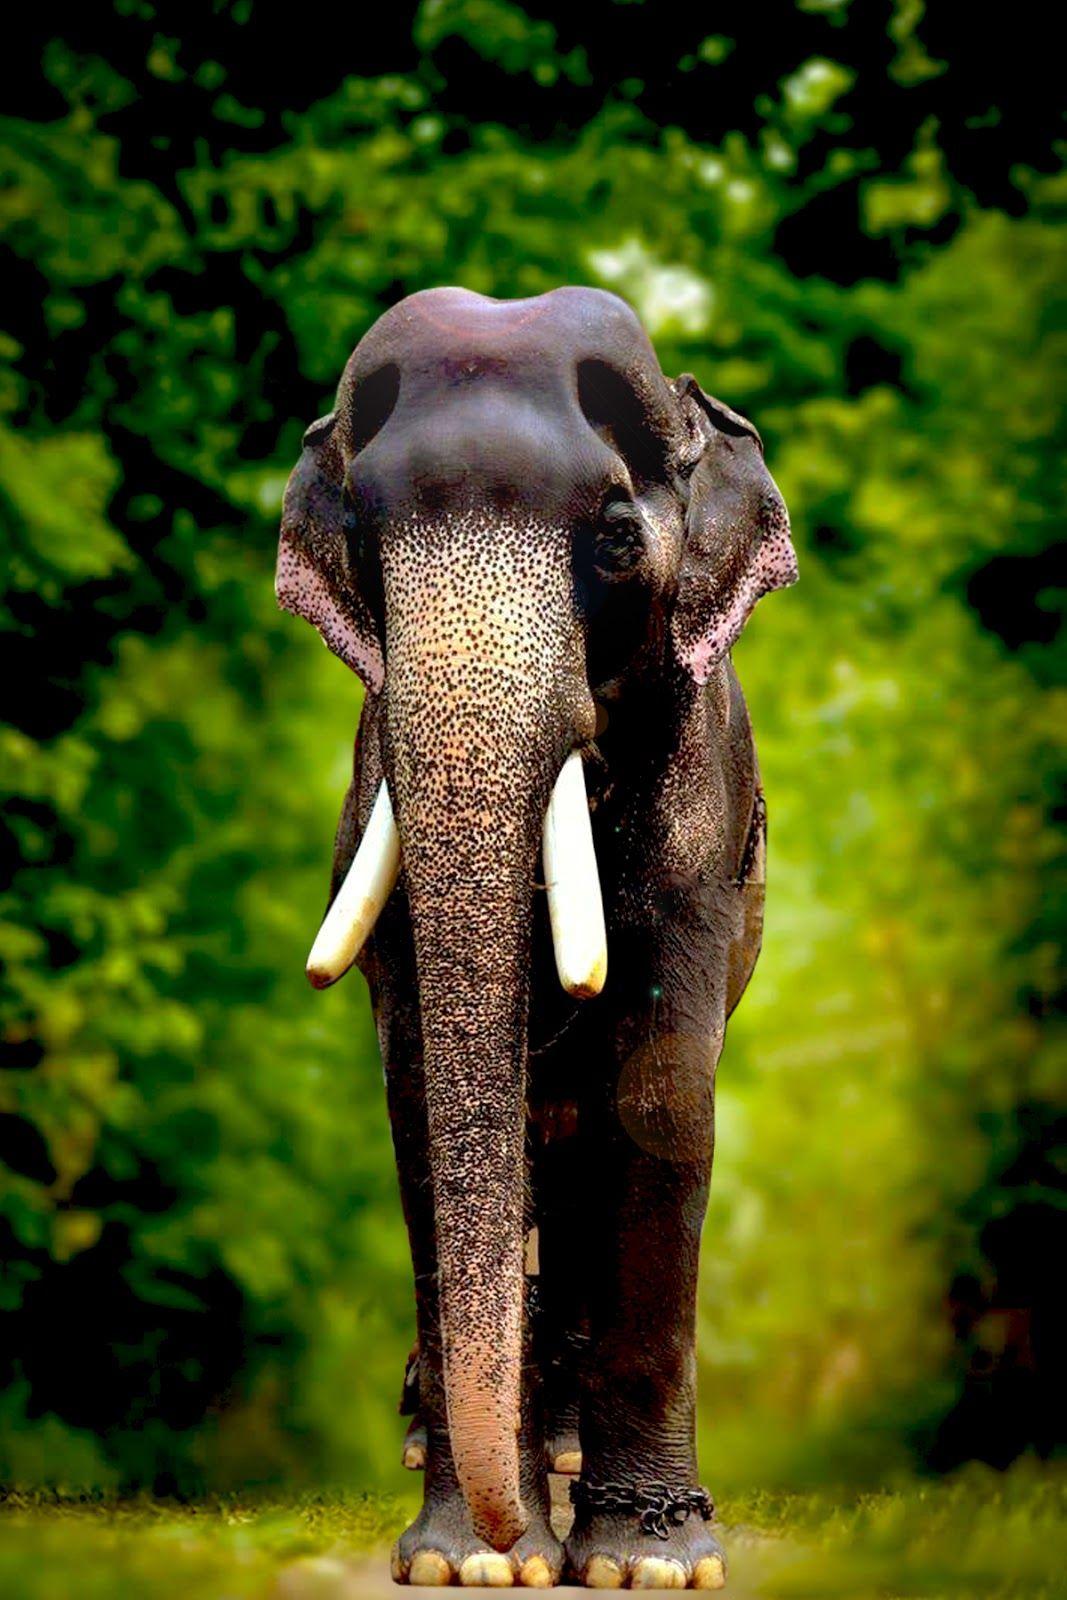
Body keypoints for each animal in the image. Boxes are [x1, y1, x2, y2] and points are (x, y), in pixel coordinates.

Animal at [275, 286, 796, 1589]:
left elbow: (658, 1098)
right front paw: (467, 1561)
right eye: (363, 538)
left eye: (612, 537)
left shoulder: (699, 806)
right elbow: (424, 1092)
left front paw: (644, 1562)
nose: (516, 1532)